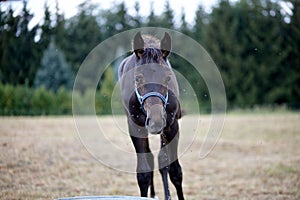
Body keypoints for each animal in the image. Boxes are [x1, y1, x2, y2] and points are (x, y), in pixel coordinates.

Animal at [118, 32, 184, 200]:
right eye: (137, 78)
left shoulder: (172, 126)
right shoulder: (136, 128)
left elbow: (174, 171)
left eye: (167, 78)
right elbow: (143, 174)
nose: (156, 122)